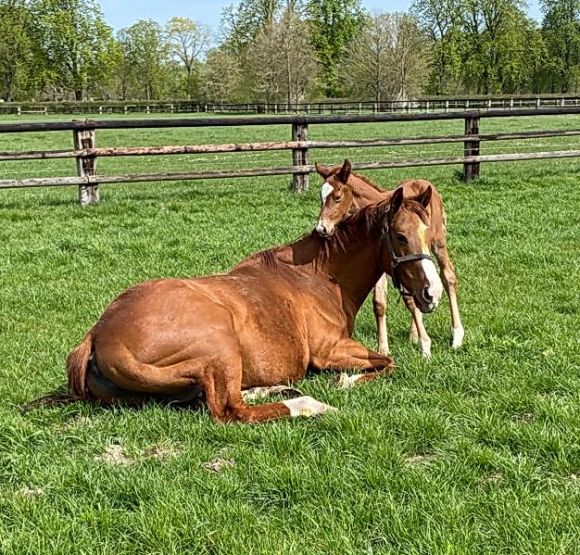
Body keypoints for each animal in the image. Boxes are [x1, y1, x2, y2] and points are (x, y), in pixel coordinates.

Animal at [67, 193, 444, 424]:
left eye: (430, 235)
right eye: (399, 236)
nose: (432, 293)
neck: (321, 276)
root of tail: (98, 335)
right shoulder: (330, 350)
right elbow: (388, 362)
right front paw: (344, 382)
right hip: (221, 346)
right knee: (231, 409)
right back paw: (307, 404)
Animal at [312, 162, 462, 360]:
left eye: (337, 197)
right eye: (321, 197)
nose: (321, 229)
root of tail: (424, 183)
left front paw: (425, 345)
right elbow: (380, 303)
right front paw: (382, 348)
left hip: (438, 244)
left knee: (448, 277)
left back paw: (457, 336)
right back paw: (414, 334)